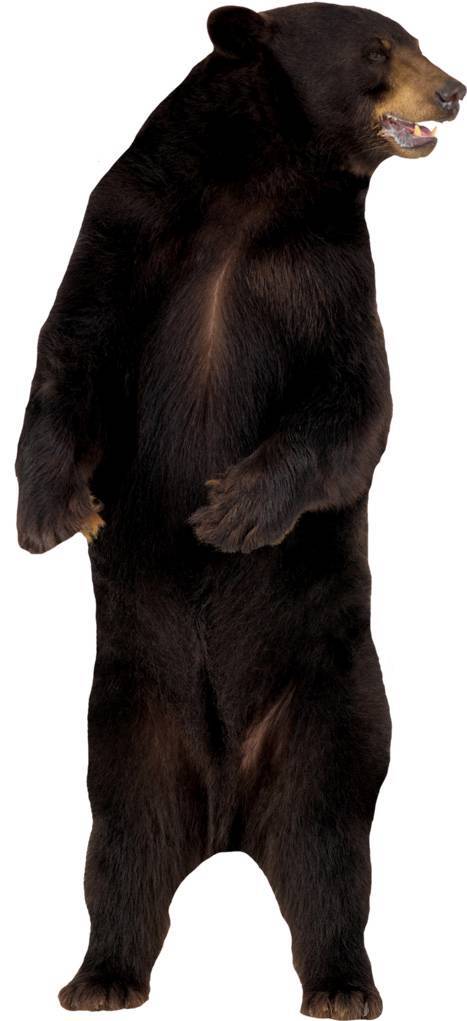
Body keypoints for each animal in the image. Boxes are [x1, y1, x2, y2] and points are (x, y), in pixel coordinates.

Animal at [15, 4, 464, 1019]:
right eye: (379, 46)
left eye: (413, 38)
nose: (452, 90)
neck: (253, 192)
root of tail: (225, 820)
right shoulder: (123, 229)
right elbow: (69, 352)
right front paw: (52, 513)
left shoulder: (332, 273)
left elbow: (353, 403)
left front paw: (232, 513)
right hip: (128, 728)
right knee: (122, 850)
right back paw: (99, 975)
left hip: (333, 714)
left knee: (329, 855)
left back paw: (342, 984)